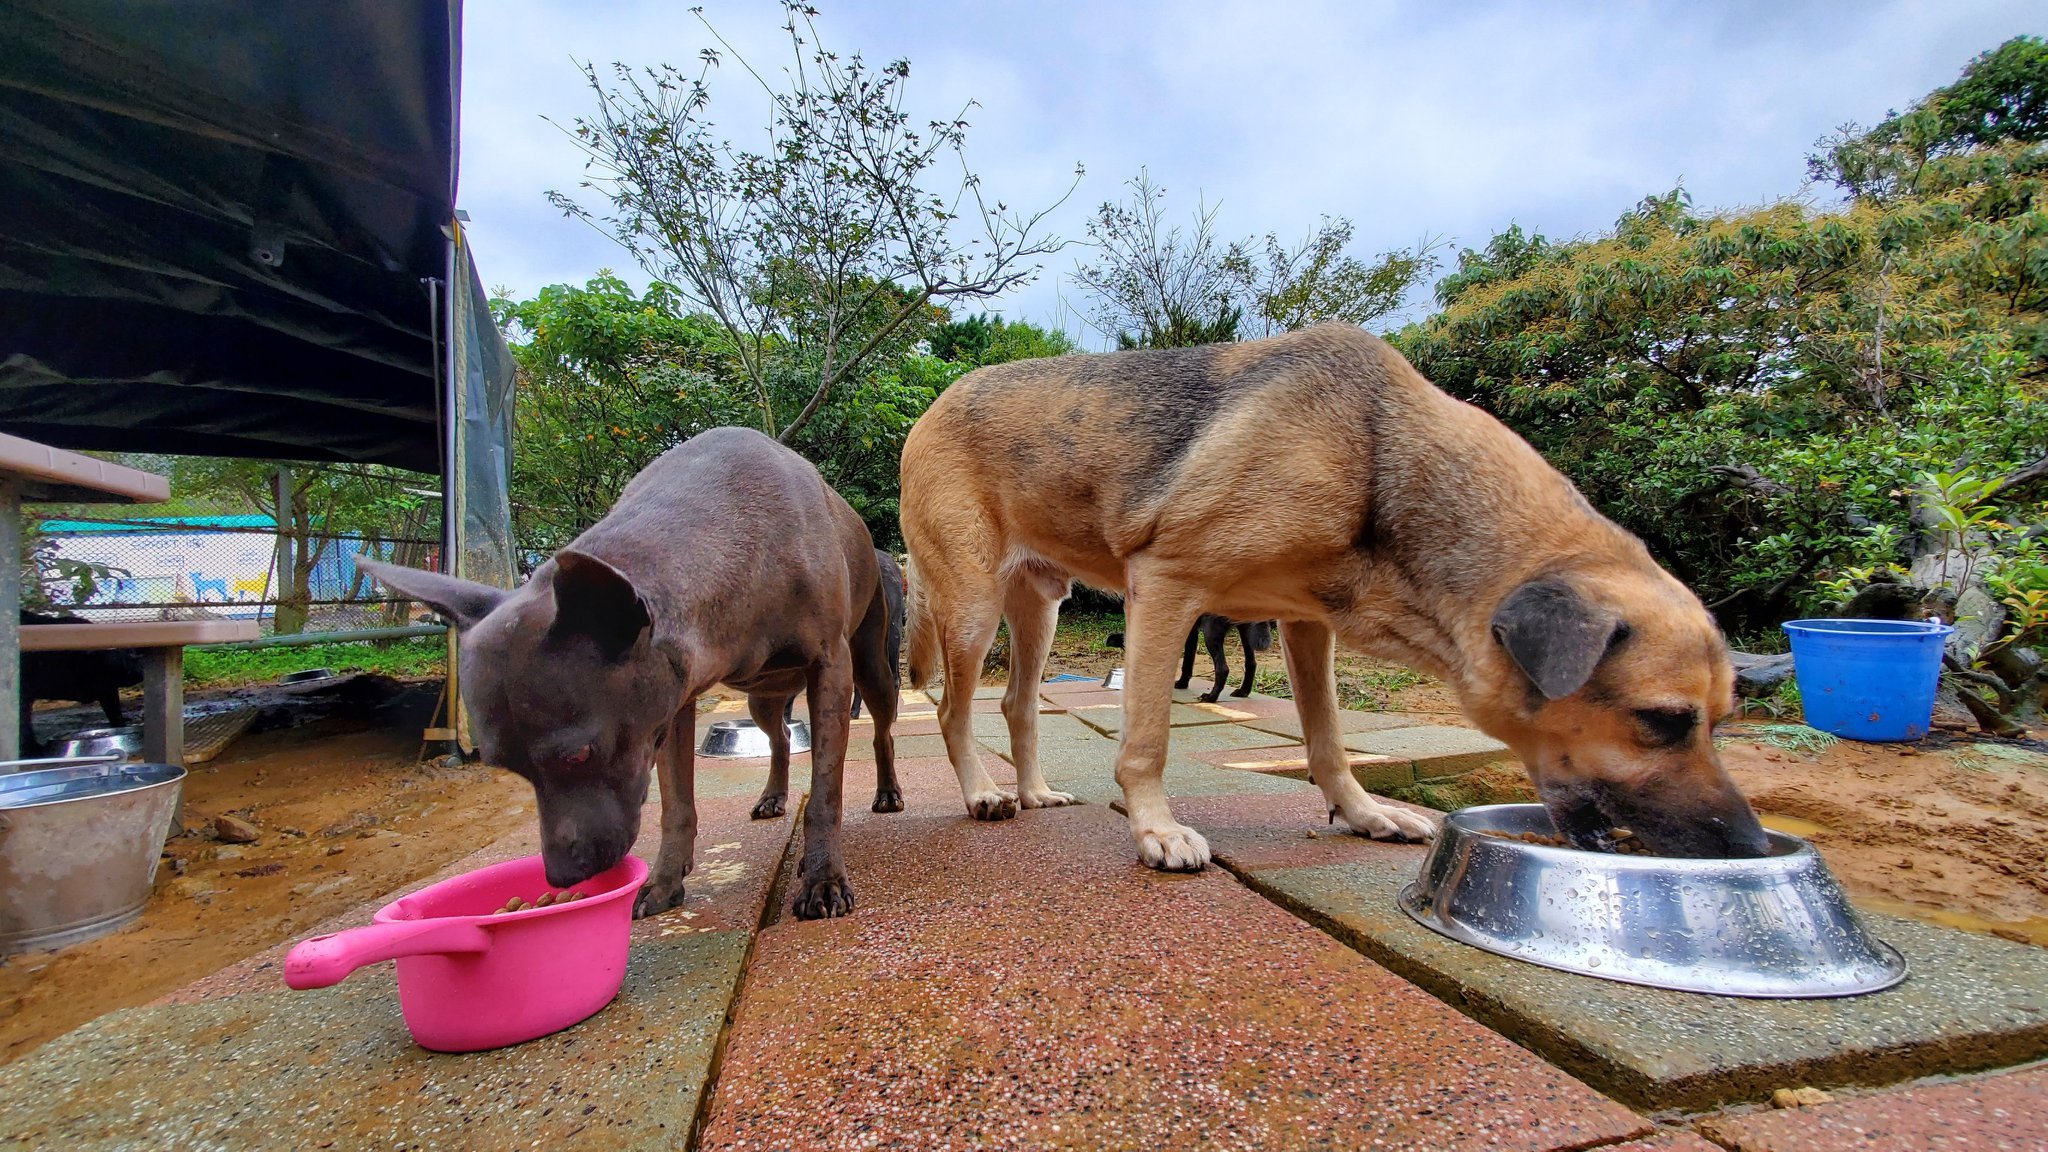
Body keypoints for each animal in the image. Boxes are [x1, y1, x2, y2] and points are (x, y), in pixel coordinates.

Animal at [358, 426, 897, 918]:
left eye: (578, 754)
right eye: (505, 767)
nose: (563, 877)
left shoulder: (829, 671)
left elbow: (825, 793)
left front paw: (822, 876)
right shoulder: (672, 707)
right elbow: (676, 805)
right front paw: (665, 879)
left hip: (872, 673)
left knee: (880, 733)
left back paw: (888, 791)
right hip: (762, 698)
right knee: (780, 738)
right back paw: (774, 796)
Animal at [905, 317, 1769, 865]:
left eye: (1721, 723)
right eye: (1662, 722)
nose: (1754, 846)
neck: (1377, 456)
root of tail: (934, 402)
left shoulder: (1305, 625)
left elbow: (1326, 739)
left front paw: (1362, 815)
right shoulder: (1167, 587)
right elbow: (1147, 738)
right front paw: (1155, 831)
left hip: (1040, 609)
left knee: (1017, 704)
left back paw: (1032, 790)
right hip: (973, 604)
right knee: (952, 709)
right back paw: (983, 794)